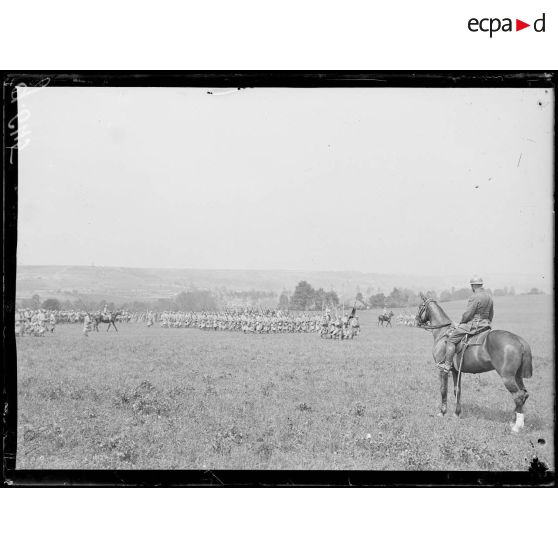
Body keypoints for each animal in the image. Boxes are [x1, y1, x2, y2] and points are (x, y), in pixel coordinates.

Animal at [416, 296, 532, 436]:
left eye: (420, 306)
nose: (416, 320)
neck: (443, 332)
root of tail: (520, 341)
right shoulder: (456, 371)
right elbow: (457, 390)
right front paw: (456, 413)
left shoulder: (442, 370)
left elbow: (443, 390)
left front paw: (442, 412)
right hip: (517, 376)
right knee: (524, 394)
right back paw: (514, 420)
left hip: (507, 378)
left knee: (518, 396)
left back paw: (516, 426)